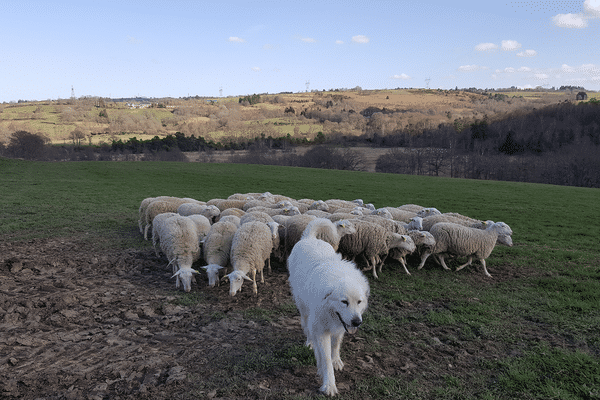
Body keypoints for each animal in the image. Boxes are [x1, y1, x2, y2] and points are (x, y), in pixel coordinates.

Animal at [288, 222, 368, 396]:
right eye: (344, 302)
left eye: (359, 302)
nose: (357, 322)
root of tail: (310, 238)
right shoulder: (321, 330)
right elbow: (325, 360)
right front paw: (329, 385)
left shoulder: (341, 326)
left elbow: (336, 344)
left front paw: (336, 360)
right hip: (304, 309)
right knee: (307, 327)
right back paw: (310, 343)